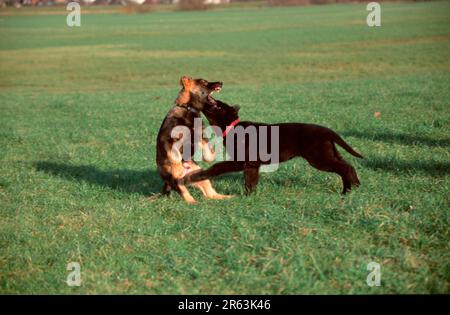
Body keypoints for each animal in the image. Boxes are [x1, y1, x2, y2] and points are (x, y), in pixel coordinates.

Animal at [183, 97, 362, 195]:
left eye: (219, 106)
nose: (208, 99)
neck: (232, 127)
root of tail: (327, 131)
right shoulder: (251, 165)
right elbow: (250, 181)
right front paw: (248, 197)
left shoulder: (240, 161)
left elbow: (217, 167)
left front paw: (193, 177)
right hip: (329, 154)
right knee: (348, 166)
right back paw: (354, 188)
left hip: (319, 158)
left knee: (345, 168)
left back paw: (347, 191)